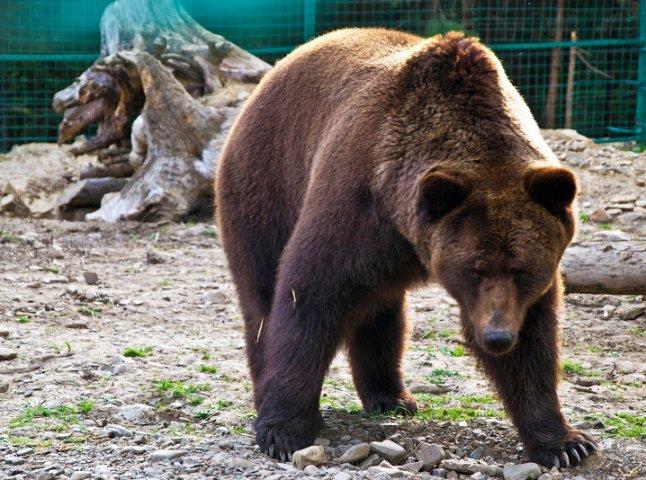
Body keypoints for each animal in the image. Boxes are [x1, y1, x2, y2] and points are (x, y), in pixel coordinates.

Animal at [215, 28, 600, 466]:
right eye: (475, 268)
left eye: (521, 269)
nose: (497, 336)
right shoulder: (356, 204)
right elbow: (309, 299)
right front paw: (283, 431)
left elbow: (533, 344)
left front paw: (565, 443)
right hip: (266, 182)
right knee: (262, 297)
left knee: (381, 312)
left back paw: (391, 396)